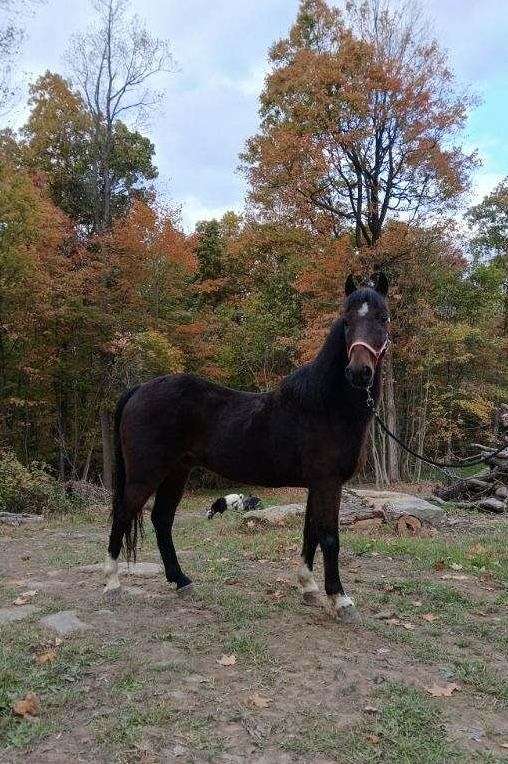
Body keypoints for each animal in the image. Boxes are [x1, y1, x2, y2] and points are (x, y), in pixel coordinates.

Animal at [102, 274, 388, 620]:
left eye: (383, 318)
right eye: (346, 321)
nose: (359, 372)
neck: (325, 406)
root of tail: (140, 388)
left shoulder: (316, 484)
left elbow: (310, 532)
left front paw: (308, 588)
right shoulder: (328, 482)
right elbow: (330, 538)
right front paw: (340, 600)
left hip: (176, 472)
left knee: (162, 519)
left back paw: (181, 580)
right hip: (146, 474)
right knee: (122, 514)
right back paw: (112, 583)